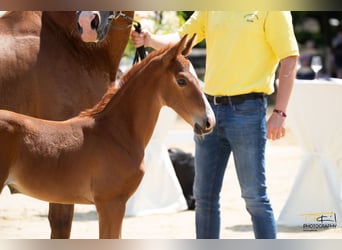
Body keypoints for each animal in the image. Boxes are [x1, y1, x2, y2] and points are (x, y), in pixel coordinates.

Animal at [0, 35, 214, 238]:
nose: (209, 122)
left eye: (198, 78)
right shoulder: (110, 203)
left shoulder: (114, 204)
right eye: (181, 81)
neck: (115, 133)